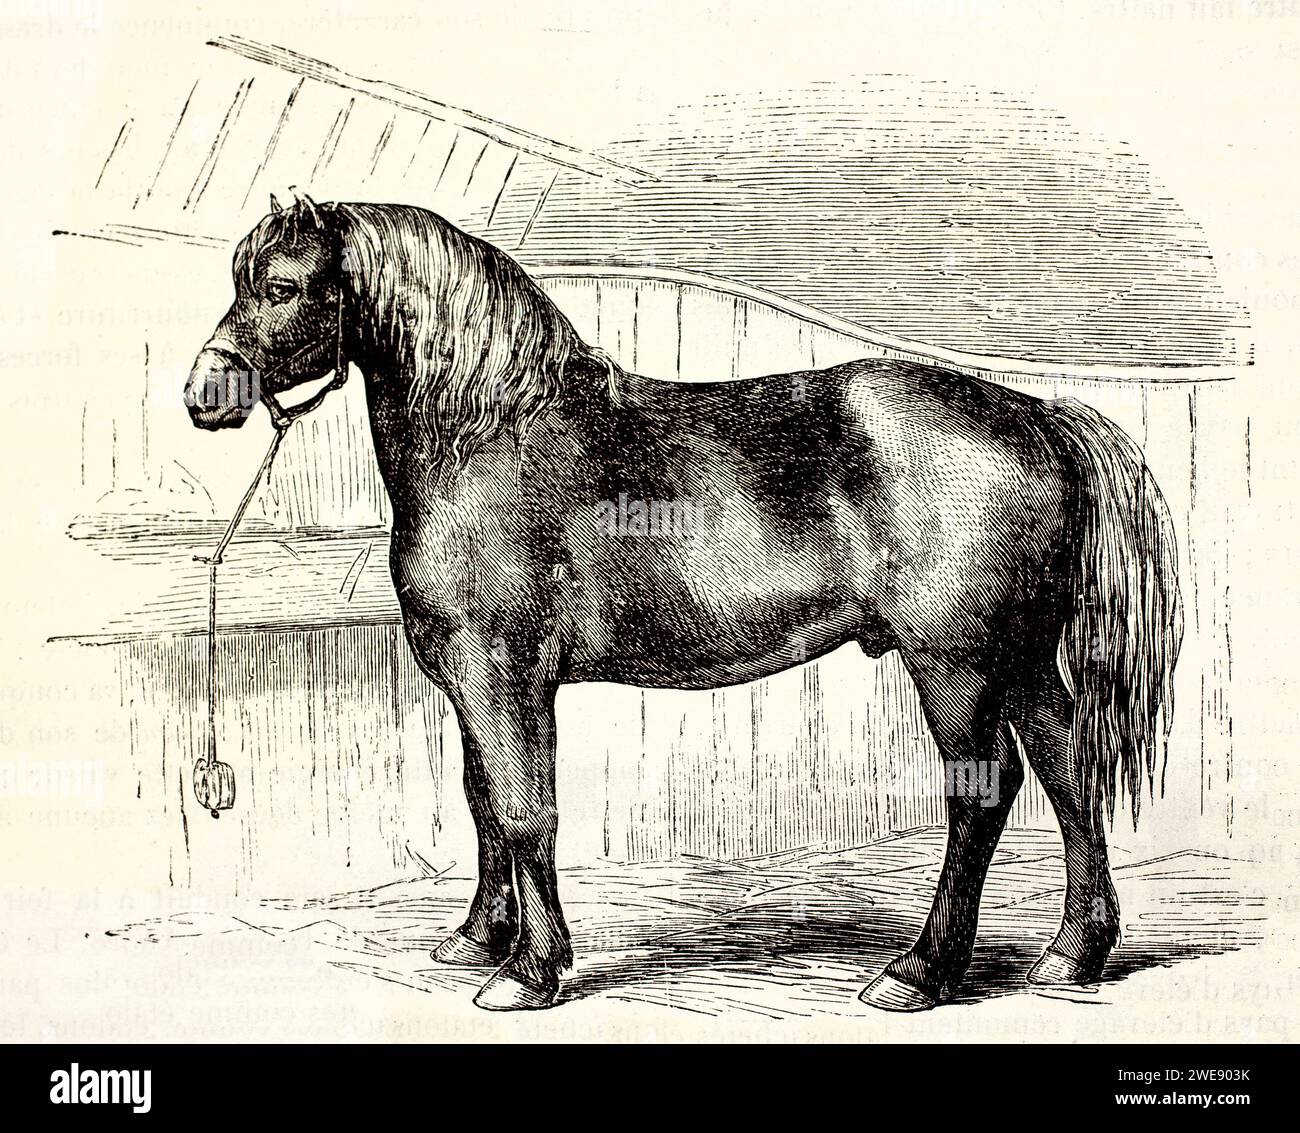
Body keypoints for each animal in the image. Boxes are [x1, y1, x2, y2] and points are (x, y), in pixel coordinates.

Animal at [185, 193, 1182, 1012]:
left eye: (283, 284)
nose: (204, 393)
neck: (489, 434)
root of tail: (1036, 416)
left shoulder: (503, 673)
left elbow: (524, 807)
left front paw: (531, 971)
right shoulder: (467, 681)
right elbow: (482, 800)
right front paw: (478, 939)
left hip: (956, 666)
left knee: (984, 789)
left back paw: (919, 972)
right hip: (1022, 658)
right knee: (1068, 766)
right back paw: (1073, 953)